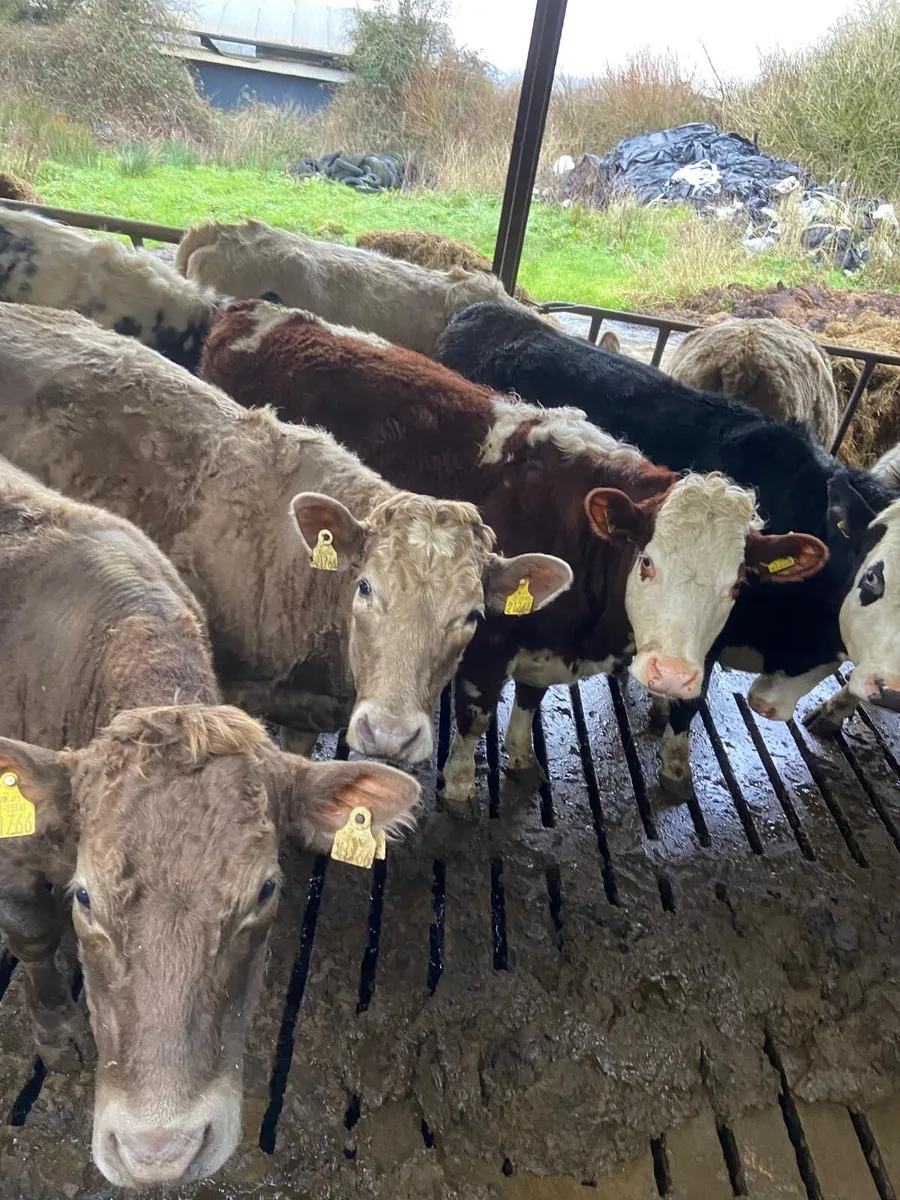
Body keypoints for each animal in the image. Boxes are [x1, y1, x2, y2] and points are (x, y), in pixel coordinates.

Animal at [200, 300, 829, 813]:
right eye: (648, 561)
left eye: (738, 583)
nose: (671, 674)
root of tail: (255, 309)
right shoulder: (486, 643)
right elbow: (476, 716)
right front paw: (458, 786)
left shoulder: (545, 647)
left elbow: (529, 699)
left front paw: (523, 756)